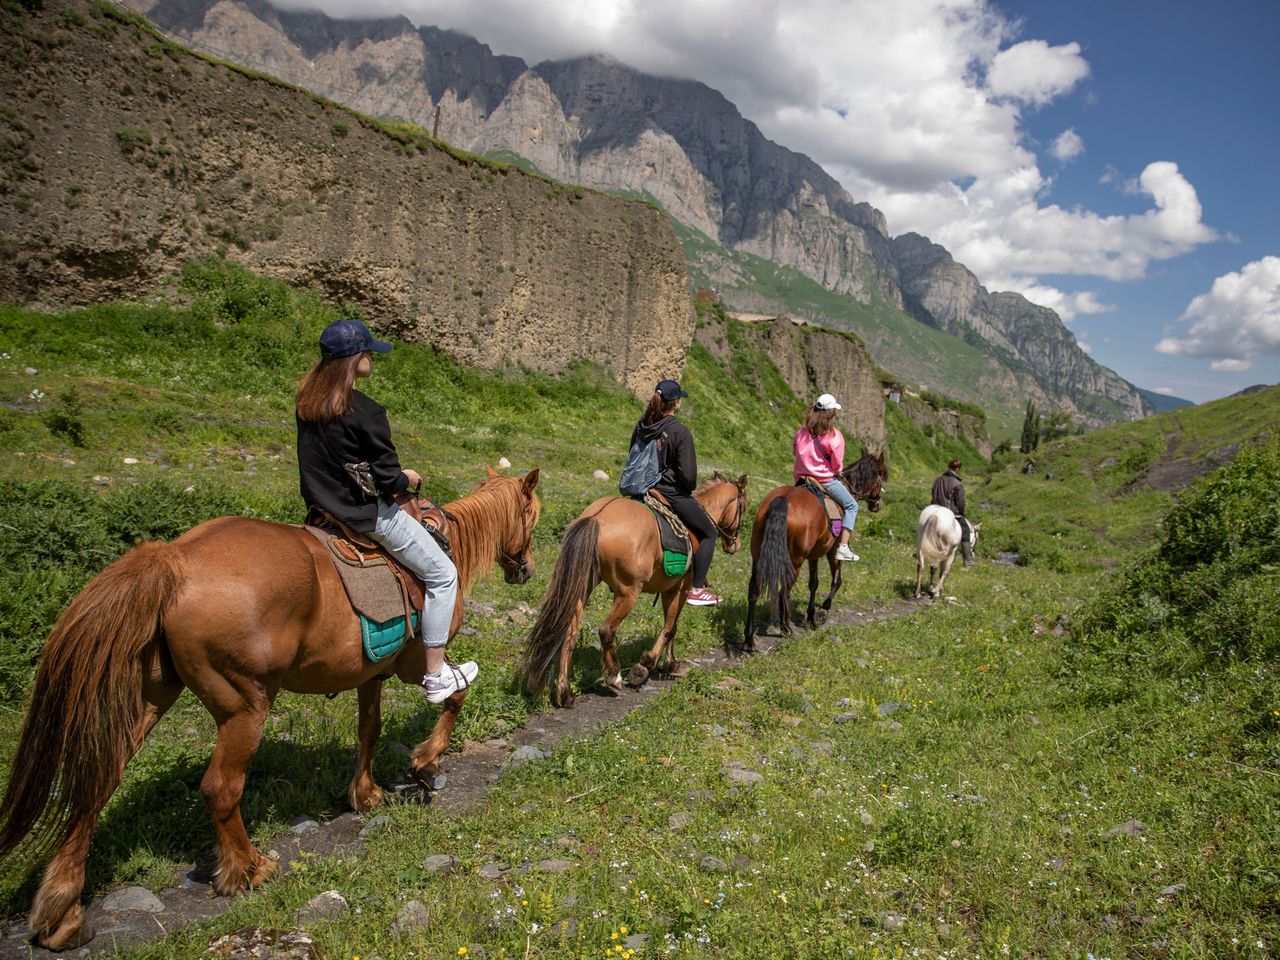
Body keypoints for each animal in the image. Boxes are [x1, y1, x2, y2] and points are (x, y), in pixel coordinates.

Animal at [0, 468, 537, 957]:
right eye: (531, 516)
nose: (526, 570)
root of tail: (174, 560)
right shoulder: (415, 663)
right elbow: (454, 696)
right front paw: (425, 760)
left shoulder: (371, 675)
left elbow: (369, 729)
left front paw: (364, 794)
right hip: (245, 705)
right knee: (220, 787)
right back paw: (249, 868)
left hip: (150, 697)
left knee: (97, 783)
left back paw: (62, 913)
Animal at [522, 478, 747, 711]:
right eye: (744, 507)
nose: (735, 544)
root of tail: (596, 517)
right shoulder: (680, 588)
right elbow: (670, 628)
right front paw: (647, 665)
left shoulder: (669, 590)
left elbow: (671, 627)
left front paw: (670, 664)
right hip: (628, 592)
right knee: (606, 630)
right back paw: (614, 675)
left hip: (583, 586)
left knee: (569, 634)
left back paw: (564, 694)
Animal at [747, 453, 885, 650]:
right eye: (881, 475)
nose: (877, 505)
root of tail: (782, 500)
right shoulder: (833, 551)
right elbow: (837, 581)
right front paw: (822, 611)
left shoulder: (813, 555)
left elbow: (813, 583)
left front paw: (811, 616)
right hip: (795, 562)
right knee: (783, 591)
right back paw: (786, 627)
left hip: (758, 557)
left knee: (753, 592)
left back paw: (749, 640)